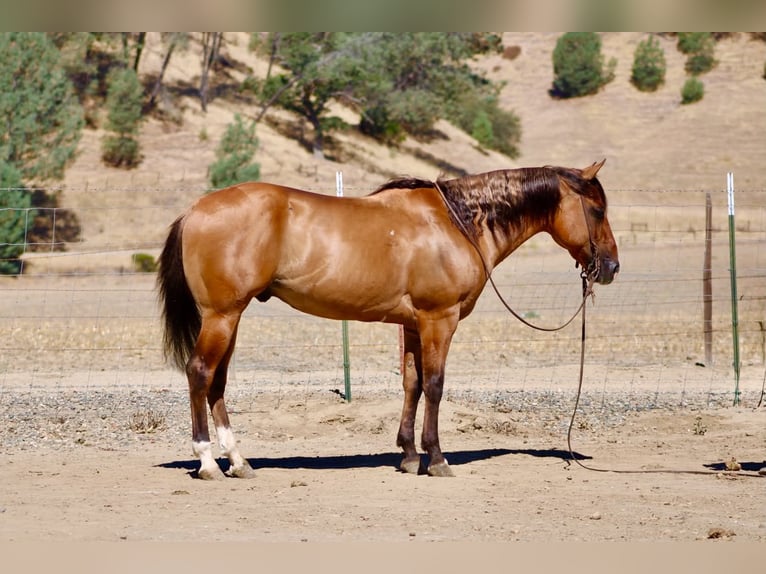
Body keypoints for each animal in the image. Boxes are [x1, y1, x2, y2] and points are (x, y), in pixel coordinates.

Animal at [157, 159, 619, 480]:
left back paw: (238, 461)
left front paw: (409, 456)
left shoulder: (414, 324)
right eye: (597, 210)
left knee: (217, 382)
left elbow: (412, 384)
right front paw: (436, 458)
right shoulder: (439, 319)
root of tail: (196, 209)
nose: (611, 267)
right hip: (222, 316)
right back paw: (208, 462)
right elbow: (435, 385)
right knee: (200, 373)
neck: (457, 223)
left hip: (230, 318)